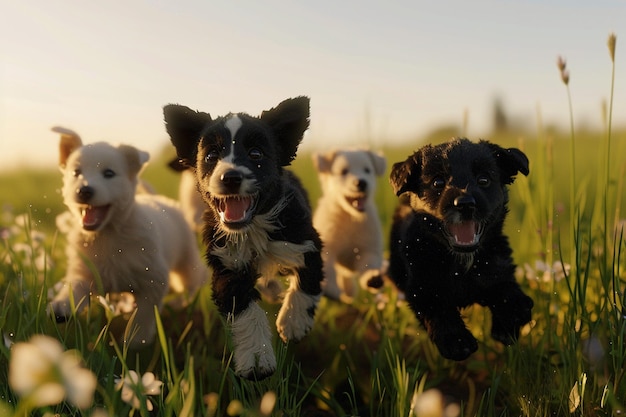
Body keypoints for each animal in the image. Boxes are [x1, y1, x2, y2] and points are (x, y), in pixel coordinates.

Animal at [49, 127, 205, 348]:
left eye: (109, 173)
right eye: (76, 173)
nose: (84, 190)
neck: (110, 234)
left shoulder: (153, 280)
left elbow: (144, 313)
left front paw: (135, 340)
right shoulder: (85, 271)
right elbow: (75, 288)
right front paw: (62, 306)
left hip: (186, 258)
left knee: (193, 280)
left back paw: (181, 301)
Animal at [162, 96, 322, 378]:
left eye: (256, 154)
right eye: (211, 155)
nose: (231, 177)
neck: (253, 227)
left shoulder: (304, 239)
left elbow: (308, 277)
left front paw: (294, 322)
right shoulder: (227, 265)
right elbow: (246, 311)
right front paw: (257, 359)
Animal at [312, 148, 386, 300]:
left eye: (367, 170)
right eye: (344, 171)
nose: (361, 183)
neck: (350, 217)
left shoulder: (368, 248)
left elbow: (369, 263)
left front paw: (373, 278)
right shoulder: (327, 245)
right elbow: (328, 267)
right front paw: (331, 289)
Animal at [386, 138, 532, 360]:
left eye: (483, 180)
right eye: (437, 182)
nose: (465, 204)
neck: (461, 263)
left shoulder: (497, 269)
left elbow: (508, 290)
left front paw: (509, 321)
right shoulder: (421, 286)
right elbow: (438, 308)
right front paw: (457, 341)